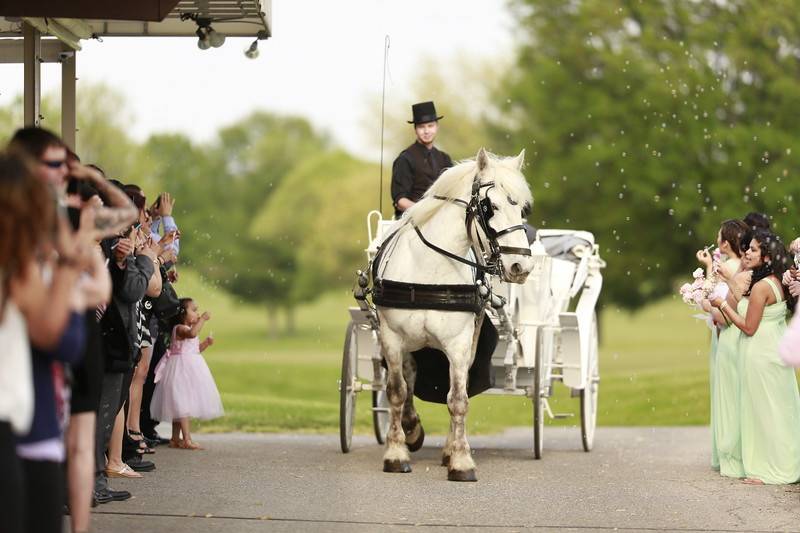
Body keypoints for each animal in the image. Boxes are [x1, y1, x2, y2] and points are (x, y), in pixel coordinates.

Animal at [374, 148, 532, 480]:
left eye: (523, 209)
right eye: (489, 206)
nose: (520, 266)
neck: (428, 268)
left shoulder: (459, 344)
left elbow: (458, 399)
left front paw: (460, 459)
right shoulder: (391, 339)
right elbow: (396, 392)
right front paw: (396, 453)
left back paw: (448, 449)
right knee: (409, 377)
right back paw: (410, 429)